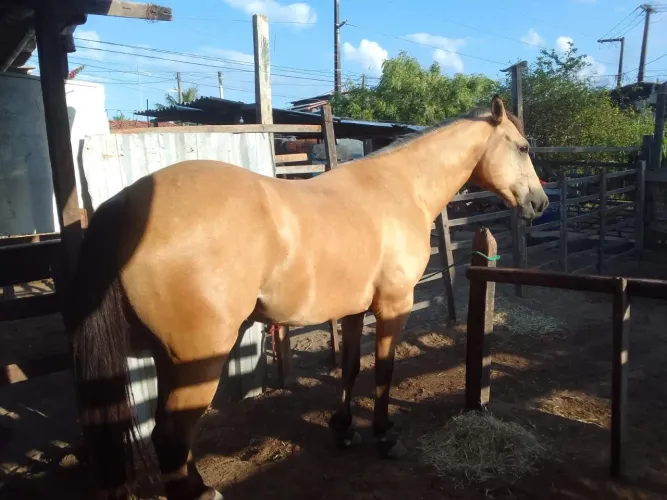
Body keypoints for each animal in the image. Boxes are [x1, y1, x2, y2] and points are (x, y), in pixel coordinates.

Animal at [67, 95, 548, 500]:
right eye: (523, 147)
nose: (540, 203)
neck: (397, 189)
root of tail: (123, 207)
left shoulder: (354, 311)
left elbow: (351, 368)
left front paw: (344, 429)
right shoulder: (394, 307)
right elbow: (384, 372)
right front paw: (384, 435)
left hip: (171, 360)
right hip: (198, 359)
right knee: (169, 434)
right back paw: (201, 493)